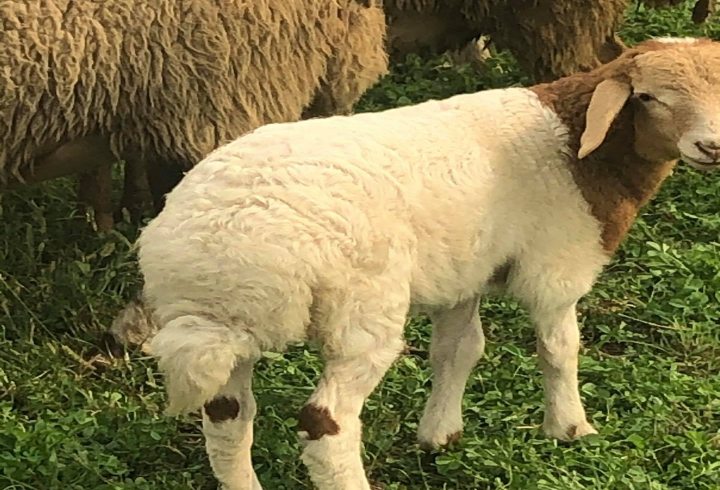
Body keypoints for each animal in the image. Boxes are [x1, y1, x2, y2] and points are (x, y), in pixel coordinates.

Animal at [134, 37, 719, 489]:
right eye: (647, 97)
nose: (711, 147)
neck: (577, 146)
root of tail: (212, 253)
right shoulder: (556, 267)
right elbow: (559, 351)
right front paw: (570, 429)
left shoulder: (463, 272)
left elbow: (458, 351)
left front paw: (440, 434)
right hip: (361, 313)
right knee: (327, 425)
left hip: (231, 330)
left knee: (227, 419)